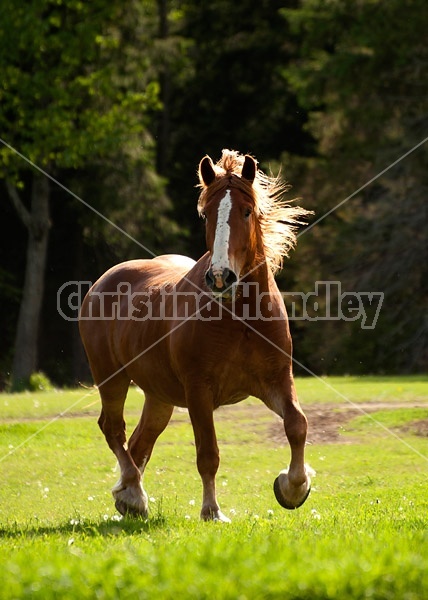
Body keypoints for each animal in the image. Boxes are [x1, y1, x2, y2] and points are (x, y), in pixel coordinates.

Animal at [80, 149, 312, 520]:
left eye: (247, 211)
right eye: (207, 213)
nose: (220, 277)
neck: (239, 318)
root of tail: (104, 280)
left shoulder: (276, 380)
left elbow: (297, 425)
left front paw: (293, 488)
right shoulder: (198, 391)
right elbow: (208, 453)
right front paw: (212, 511)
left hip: (159, 396)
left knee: (140, 441)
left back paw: (129, 497)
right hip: (111, 377)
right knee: (113, 429)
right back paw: (135, 493)